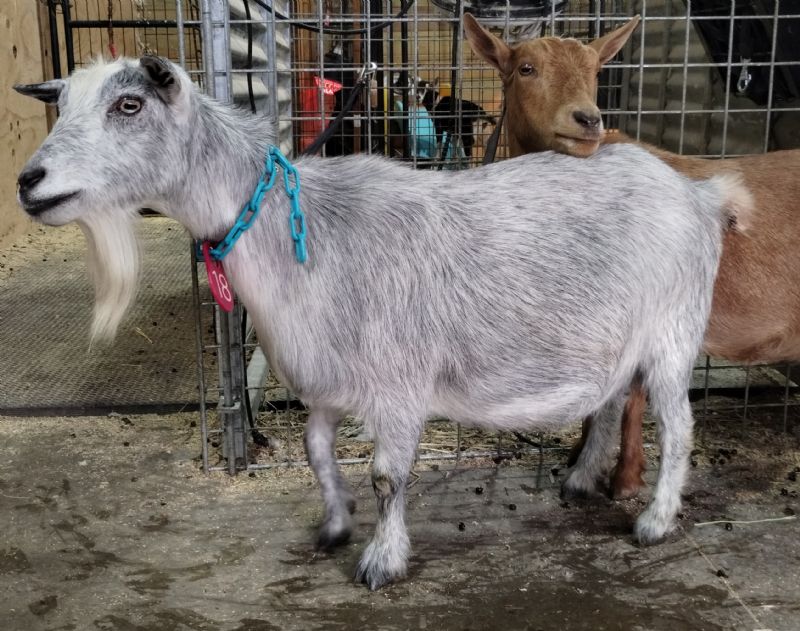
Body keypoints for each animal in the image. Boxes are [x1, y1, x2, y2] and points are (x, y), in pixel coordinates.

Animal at [16, 57, 747, 589]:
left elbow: (387, 477)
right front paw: (335, 526)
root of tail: (699, 192)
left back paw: (655, 520)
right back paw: (577, 481)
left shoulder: (399, 384)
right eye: (64, 103)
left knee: (678, 426)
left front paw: (380, 560)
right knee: (612, 399)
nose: (29, 180)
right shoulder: (323, 382)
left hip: (673, 334)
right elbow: (317, 452)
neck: (302, 231)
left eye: (128, 105)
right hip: (617, 337)